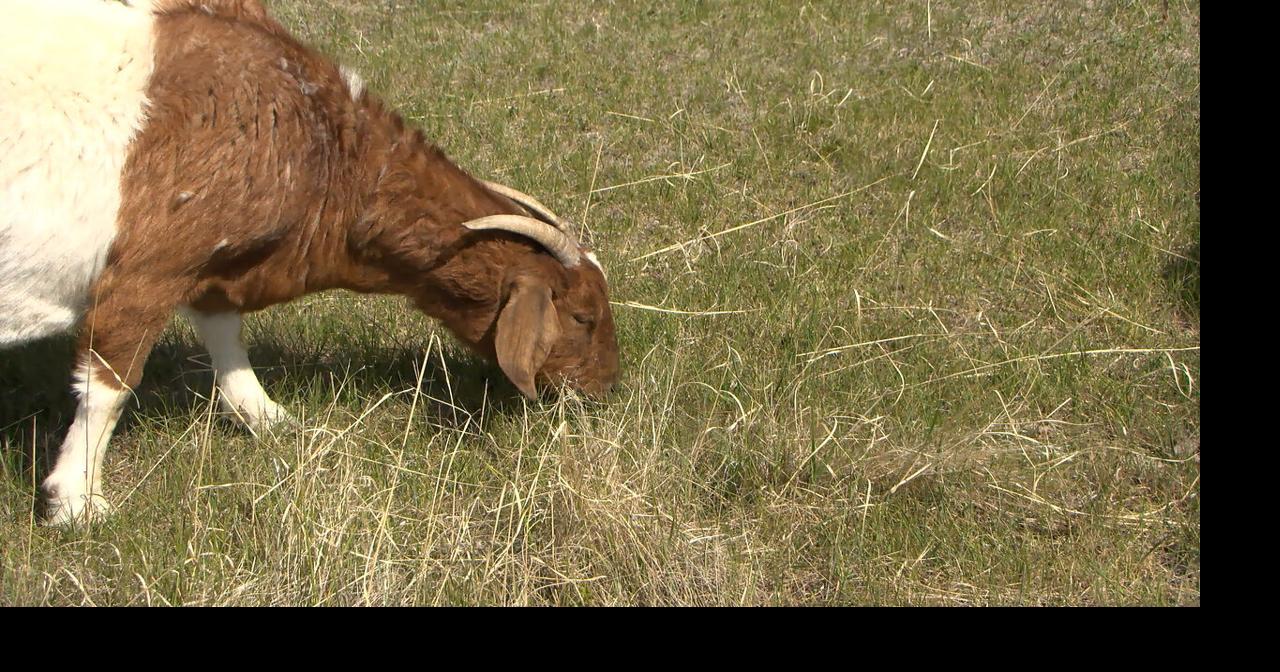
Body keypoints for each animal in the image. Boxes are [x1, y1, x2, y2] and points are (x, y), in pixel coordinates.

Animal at [0, 0, 620, 525]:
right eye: (583, 317)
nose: (607, 388)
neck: (315, 140)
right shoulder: (149, 269)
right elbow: (110, 383)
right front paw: (75, 503)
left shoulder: (213, 263)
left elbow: (224, 333)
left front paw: (267, 417)